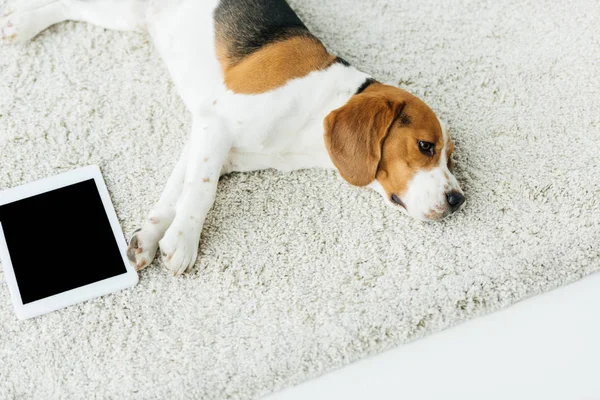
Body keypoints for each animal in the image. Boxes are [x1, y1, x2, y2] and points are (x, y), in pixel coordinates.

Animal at [1, 0, 464, 276]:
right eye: (425, 146)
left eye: (451, 157)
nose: (459, 199)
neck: (321, 106)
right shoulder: (217, 124)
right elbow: (201, 193)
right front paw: (184, 242)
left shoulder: (208, 138)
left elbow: (178, 192)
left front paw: (150, 237)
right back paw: (20, 24)